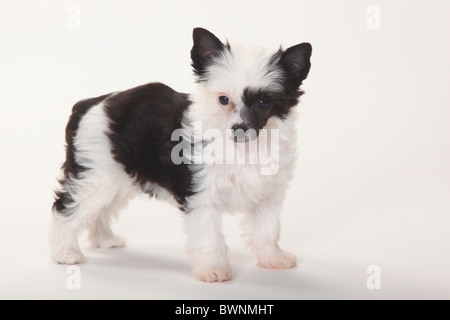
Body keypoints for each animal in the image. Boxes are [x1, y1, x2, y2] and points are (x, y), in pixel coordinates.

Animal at [48, 28, 310, 282]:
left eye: (264, 103)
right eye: (223, 99)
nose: (239, 128)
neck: (241, 147)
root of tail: (90, 104)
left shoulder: (268, 194)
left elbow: (266, 229)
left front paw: (272, 259)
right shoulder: (201, 195)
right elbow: (209, 236)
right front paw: (213, 270)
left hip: (118, 176)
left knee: (101, 209)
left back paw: (104, 239)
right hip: (97, 175)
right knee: (66, 207)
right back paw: (65, 253)